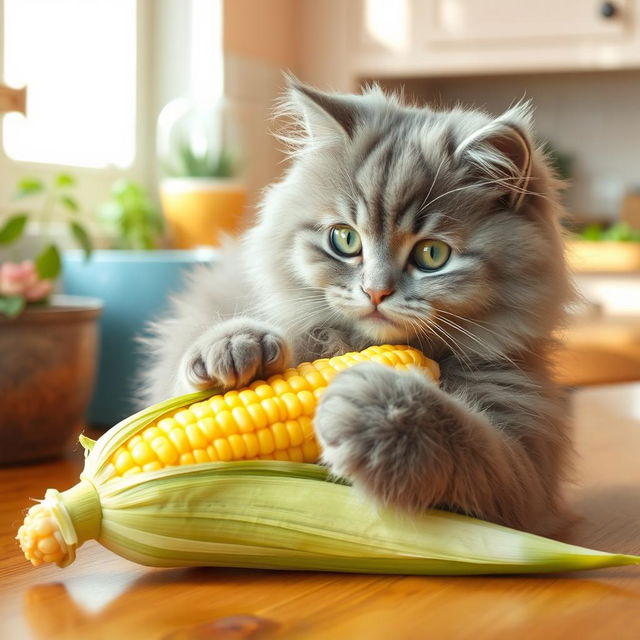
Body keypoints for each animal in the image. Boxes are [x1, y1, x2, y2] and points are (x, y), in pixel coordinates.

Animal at [142, 82, 572, 536]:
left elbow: (472, 446)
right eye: (345, 239)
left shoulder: (525, 478)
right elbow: (170, 413)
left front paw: (379, 410)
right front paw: (235, 346)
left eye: (432, 254)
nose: (376, 292)